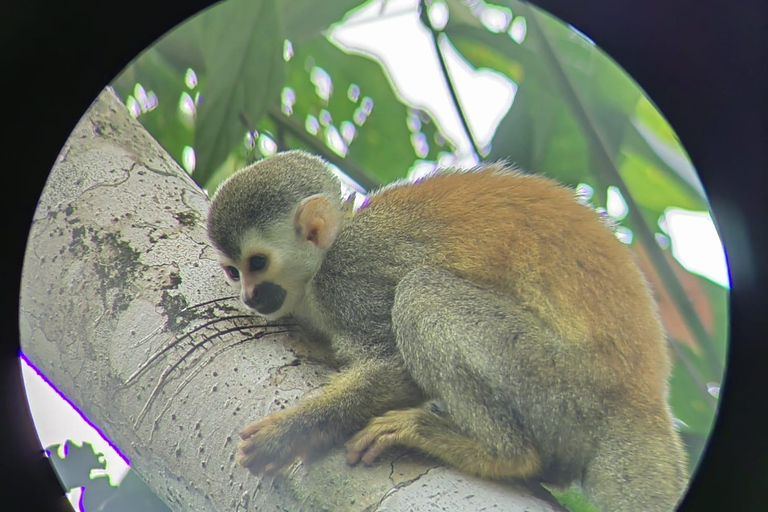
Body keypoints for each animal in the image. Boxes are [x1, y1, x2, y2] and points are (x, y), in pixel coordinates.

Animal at [207, 150, 688, 510]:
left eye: (258, 263)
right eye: (233, 271)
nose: (249, 296)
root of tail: (642, 403)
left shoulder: (349, 277)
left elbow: (395, 366)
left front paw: (288, 434)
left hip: (566, 386)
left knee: (422, 292)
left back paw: (500, 454)